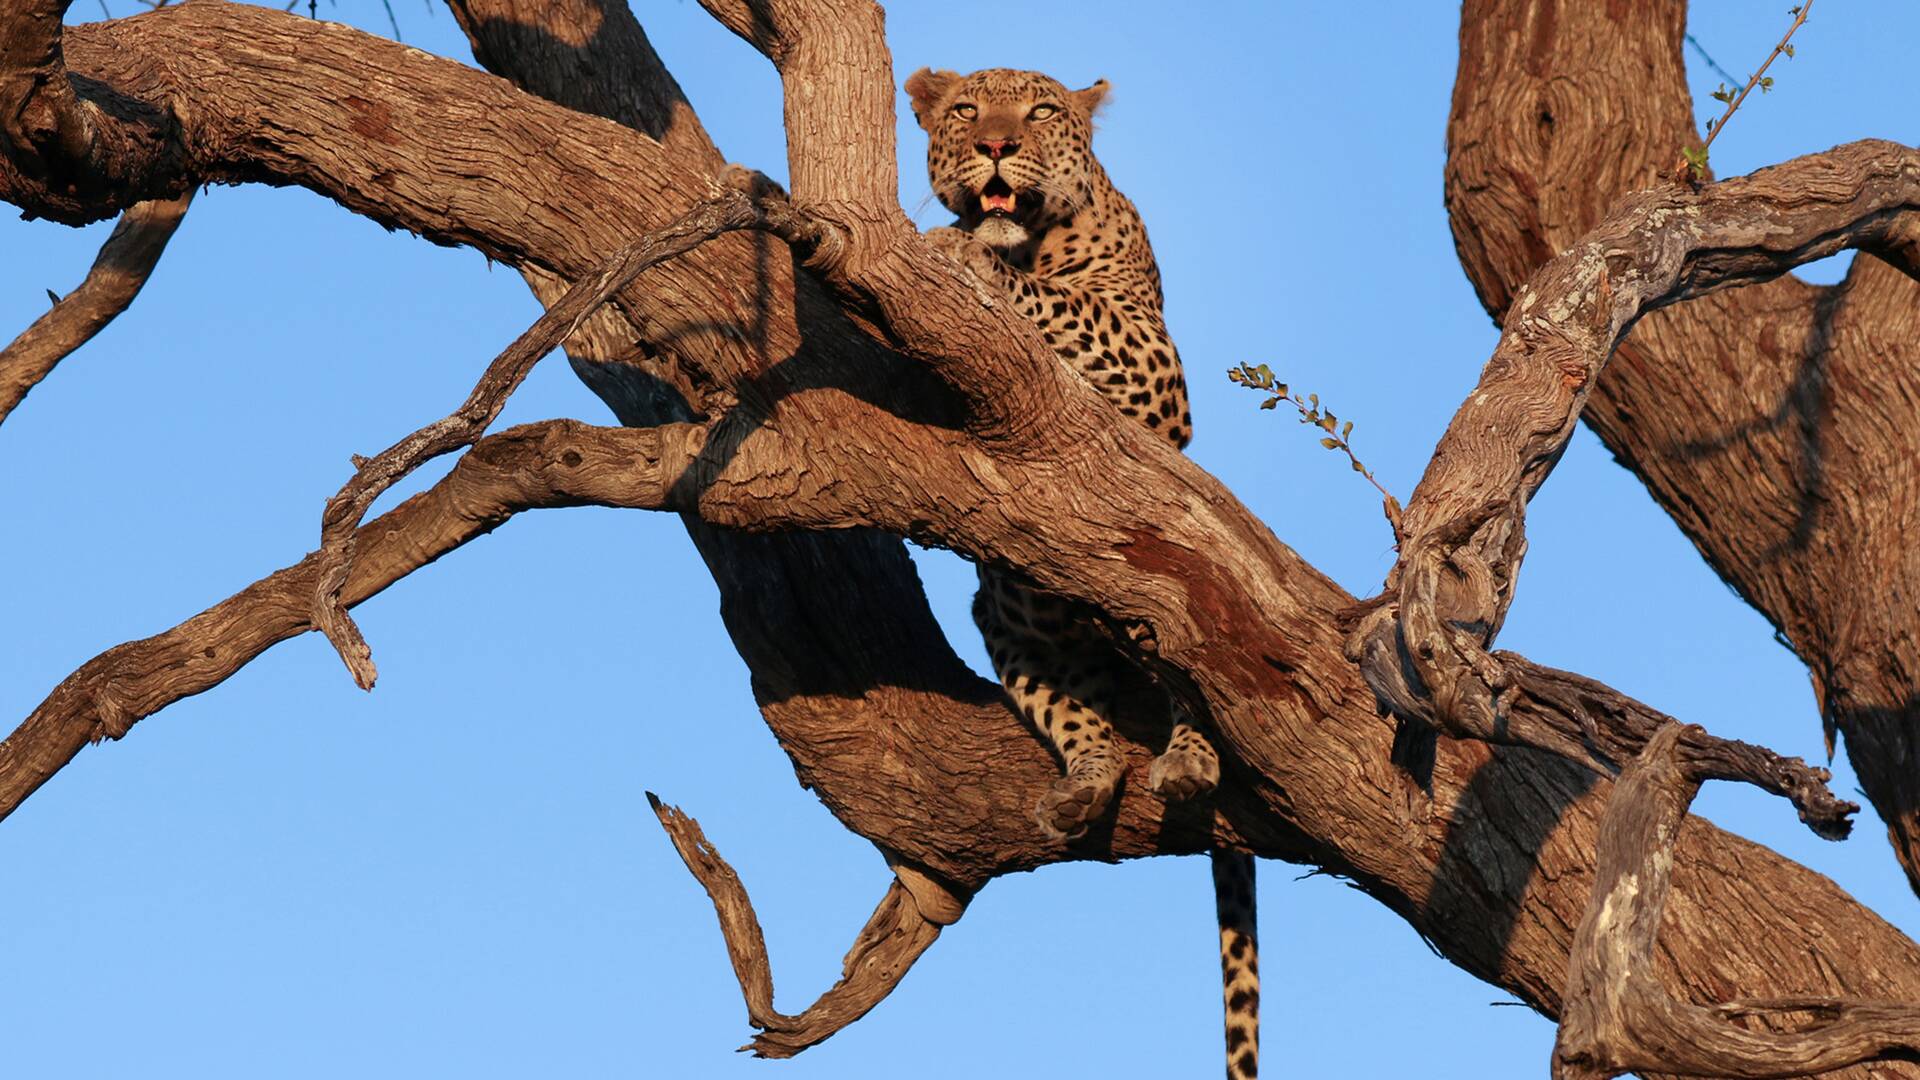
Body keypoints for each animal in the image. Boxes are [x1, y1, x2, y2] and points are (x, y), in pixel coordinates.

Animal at [910, 69, 1267, 1076]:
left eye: (1039, 113)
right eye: (964, 111)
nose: (993, 146)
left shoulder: (1148, 356)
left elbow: (1068, 305)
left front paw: (967, 252)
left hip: (1175, 604)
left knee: (1195, 695)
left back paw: (1186, 760)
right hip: (1004, 613)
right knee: (1075, 709)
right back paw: (1087, 777)